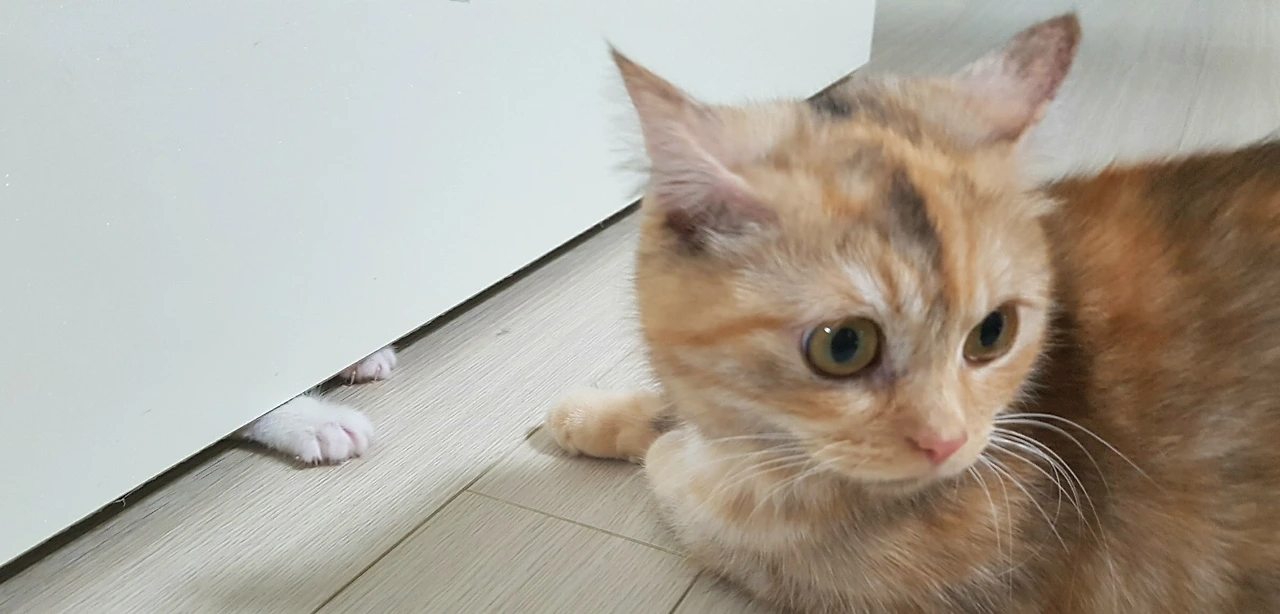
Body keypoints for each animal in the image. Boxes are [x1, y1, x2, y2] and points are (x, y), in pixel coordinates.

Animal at [546, 13, 1280, 613]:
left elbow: (688, 493)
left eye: (993, 333)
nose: (947, 443)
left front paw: (659, 447)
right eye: (843, 346)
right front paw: (593, 415)